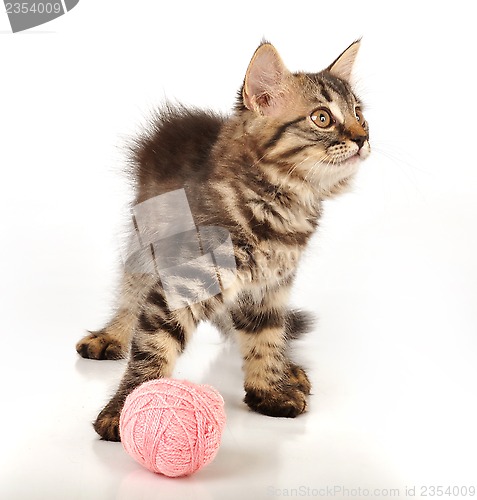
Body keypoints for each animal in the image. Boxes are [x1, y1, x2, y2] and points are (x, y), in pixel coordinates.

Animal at [76, 39, 370, 440]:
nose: (363, 137)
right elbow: (152, 348)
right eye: (322, 118)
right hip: (144, 241)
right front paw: (124, 410)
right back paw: (113, 334)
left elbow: (265, 335)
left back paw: (287, 366)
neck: (280, 203)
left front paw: (270, 389)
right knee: (131, 293)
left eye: (359, 113)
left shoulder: (269, 285)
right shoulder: (182, 279)